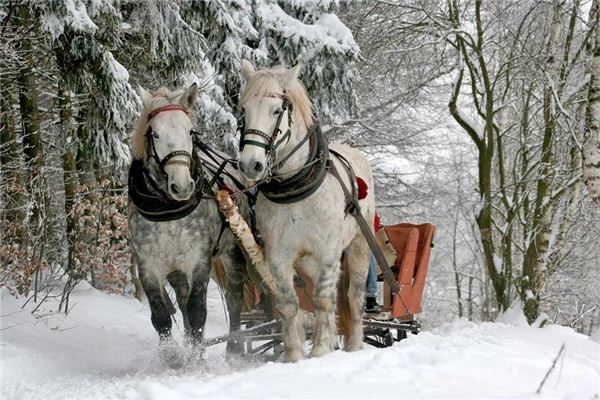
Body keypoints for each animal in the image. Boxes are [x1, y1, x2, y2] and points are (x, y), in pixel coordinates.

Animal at [237, 60, 372, 362]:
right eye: (244, 110)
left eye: (276, 110)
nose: (251, 164)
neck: (295, 187)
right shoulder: (278, 255)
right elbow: (289, 303)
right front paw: (294, 355)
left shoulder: (329, 250)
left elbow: (322, 299)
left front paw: (320, 350)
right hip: (308, 260)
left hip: (358, 245)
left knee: (353, 297)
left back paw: (354, 345)